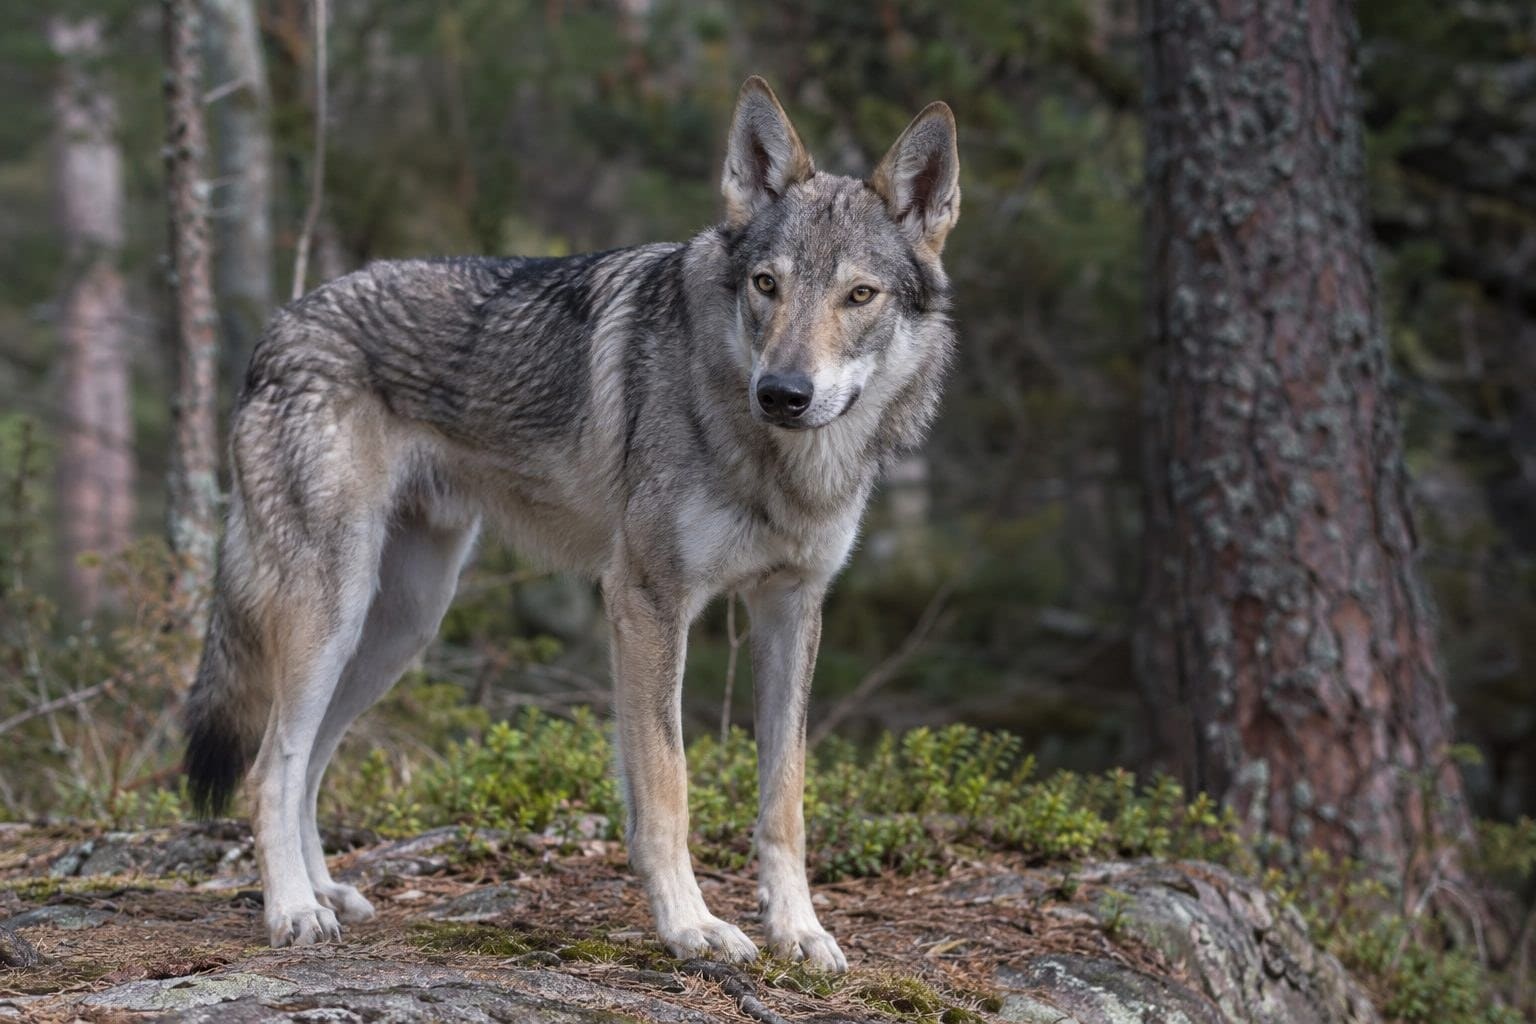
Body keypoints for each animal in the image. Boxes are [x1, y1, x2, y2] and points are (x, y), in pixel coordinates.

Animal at [182, 77, 959, 972]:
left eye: (859, 295)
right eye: (767, 285)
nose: (784, 393)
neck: (778, 458)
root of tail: (278, 325)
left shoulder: (792, 610)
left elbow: (785, 799)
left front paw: (799, 931)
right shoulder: (646, 601)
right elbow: (667, 787)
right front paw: (691, 927)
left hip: (398, 627)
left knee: (309, 761)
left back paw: (326, 893)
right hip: (333, 612)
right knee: (269, 767)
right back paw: (292, 912)